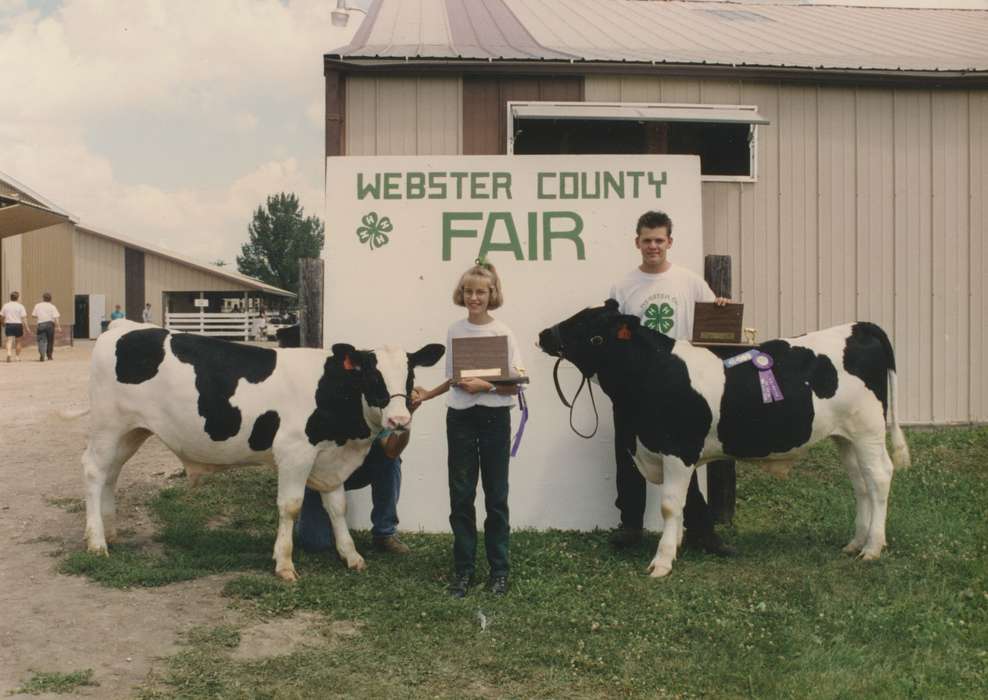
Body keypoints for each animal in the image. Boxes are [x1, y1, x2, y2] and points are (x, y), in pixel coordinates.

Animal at [81, 322, 444, 580]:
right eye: (371, 375)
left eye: (410, 376)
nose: (399, 420)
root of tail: (121, 328)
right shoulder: (295, 451)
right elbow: (291, 507)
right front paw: (284, 563)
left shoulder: (329, 461)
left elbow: (338, 508)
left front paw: (351, 555)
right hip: (108, 425)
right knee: (94, 473)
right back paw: (96, 543)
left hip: (131, 432)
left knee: (111, 474)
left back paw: (110, 533)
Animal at [540, 300, 912, 580]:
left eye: (587, 325)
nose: (544, 333)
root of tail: (858, 326)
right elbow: (684, 502)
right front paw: (678, 547)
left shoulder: (678, 448)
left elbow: (670, 504)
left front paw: (662, 562)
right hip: (845, 437)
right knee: (861, 484)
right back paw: (855, 542)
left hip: (868, 430)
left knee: (879, 477)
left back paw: (873, 548)